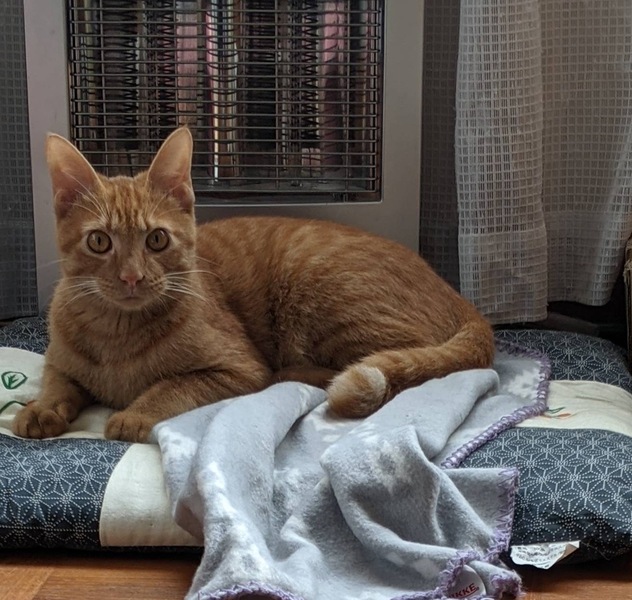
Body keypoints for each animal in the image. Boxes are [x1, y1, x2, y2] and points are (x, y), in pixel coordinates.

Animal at [12, 127, 495, 444]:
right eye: (99, 241)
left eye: (156, 240)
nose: (132, 276)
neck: (116, 333)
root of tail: (459, 297)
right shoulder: (58, 361)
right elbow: (56, 382)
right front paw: (40, 409)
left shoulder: (236, 369)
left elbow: (171, 386)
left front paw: (134, 414)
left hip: (325, 295)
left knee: (395, 360)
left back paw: (298, 373)